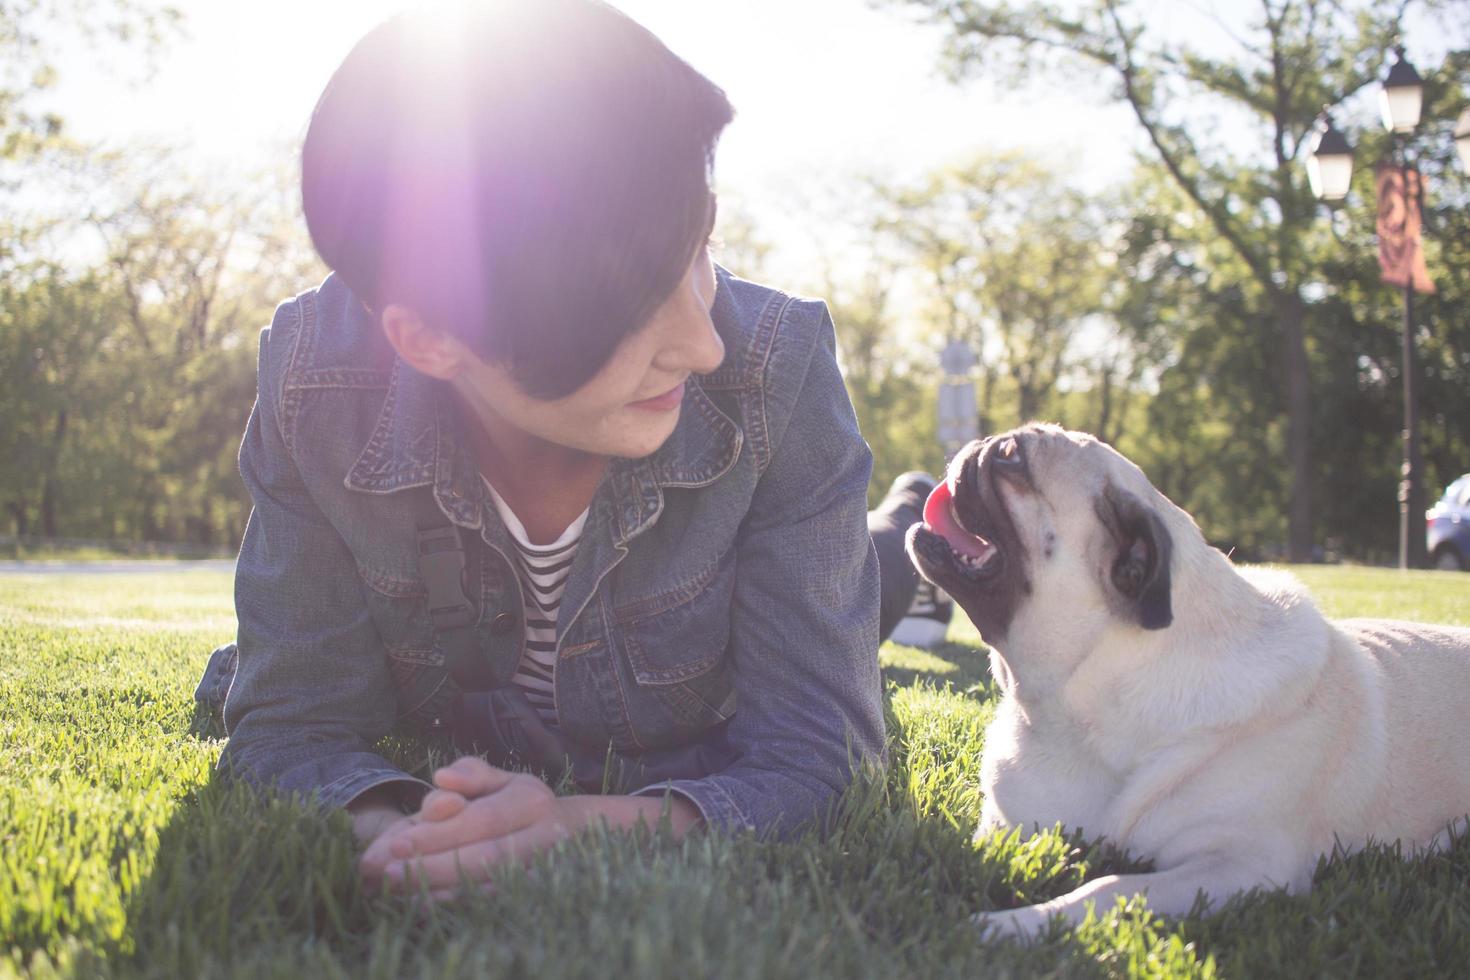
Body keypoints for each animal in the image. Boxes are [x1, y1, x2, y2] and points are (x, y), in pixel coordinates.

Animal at [905, 423, 1470, 940]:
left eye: (1010, 459)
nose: (980, 442)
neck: (1076, 706)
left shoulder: (1243, 865)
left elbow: (1109, 885)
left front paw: (1013, 924)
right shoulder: (1006, 825)